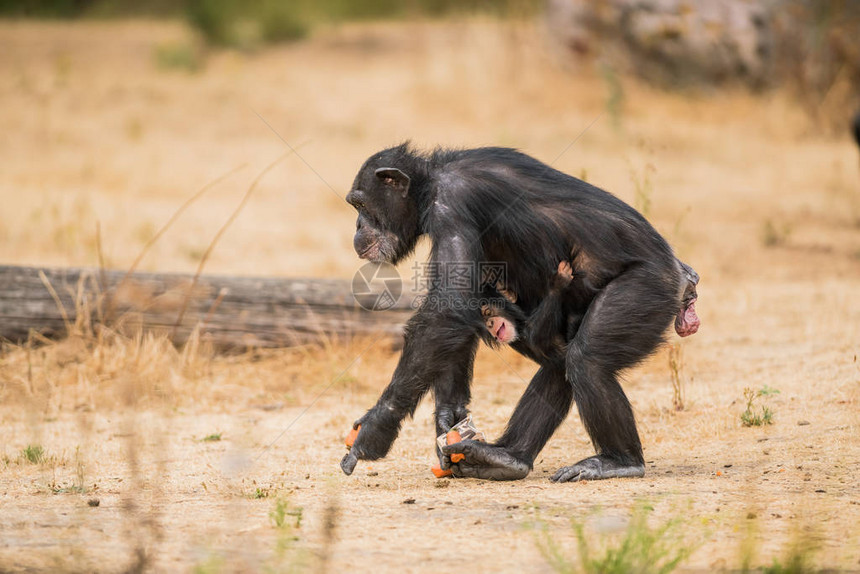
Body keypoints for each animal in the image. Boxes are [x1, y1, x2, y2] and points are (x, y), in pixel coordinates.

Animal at [340, 143, 700, 482]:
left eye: (361, 205)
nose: (357, 225)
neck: (429, 183)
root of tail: (683, 278)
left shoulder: (452, 204)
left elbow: (450, 305)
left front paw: (376, 428)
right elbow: (463, 307)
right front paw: (449, 418)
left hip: (647, 290)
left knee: (588, 361)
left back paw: (620, 461)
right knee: (560, 363)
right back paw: (506, 458)